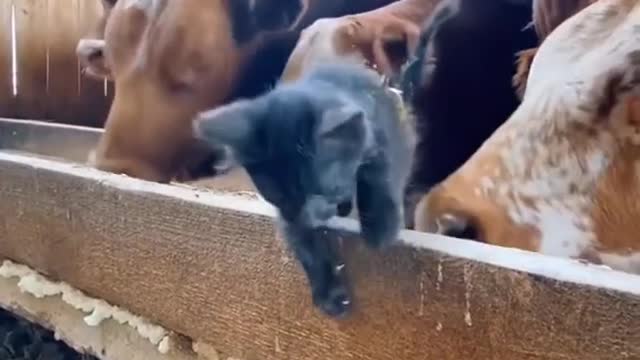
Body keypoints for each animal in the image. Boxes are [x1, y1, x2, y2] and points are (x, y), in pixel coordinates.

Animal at [192, 62, 418, 318]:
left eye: (323, 190)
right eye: (279, 198)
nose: (309, 217)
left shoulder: (388, 135)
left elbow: (380, 170)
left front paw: (380, 228)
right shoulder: (288, 216)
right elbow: (305, 245)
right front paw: (328, 293)